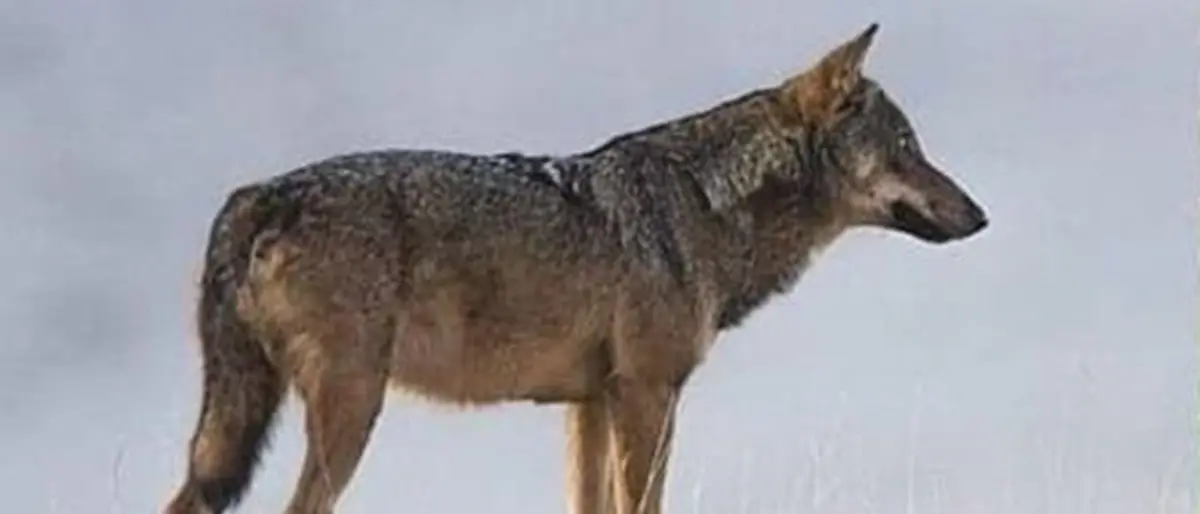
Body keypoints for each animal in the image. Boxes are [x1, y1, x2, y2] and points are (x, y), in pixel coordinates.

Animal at [164, 23, 988, 514]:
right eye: (908, 147)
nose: (981, 216)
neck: (704, 205)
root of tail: (259, 193)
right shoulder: (648, 396)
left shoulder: (589, 405)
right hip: (349, 411)